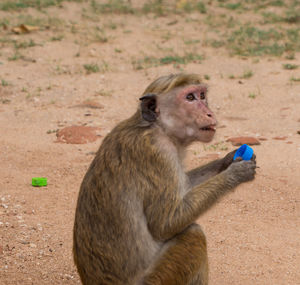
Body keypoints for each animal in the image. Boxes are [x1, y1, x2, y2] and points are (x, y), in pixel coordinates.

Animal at [72, 73, 255, 284]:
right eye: (190, 98)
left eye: (202, 95)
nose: (209, 113)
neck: (158, 127)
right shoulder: (159, 152)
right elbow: (165, 222)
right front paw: (235, 173)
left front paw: (227, 160)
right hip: (159, 279)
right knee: (194, 235)